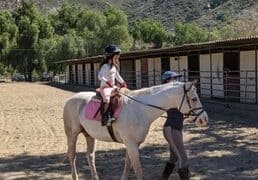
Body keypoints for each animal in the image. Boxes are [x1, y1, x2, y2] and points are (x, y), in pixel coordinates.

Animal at [63, 81, 209, 179]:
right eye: (194, 99)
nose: (204, 119)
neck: (141, 109)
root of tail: (71, 99)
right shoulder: (131, 144)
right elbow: (138, 169)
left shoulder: (132, 144)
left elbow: (128, 165)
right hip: (72, 135)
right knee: (72, 156)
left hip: (89, 136)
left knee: (90, 156)